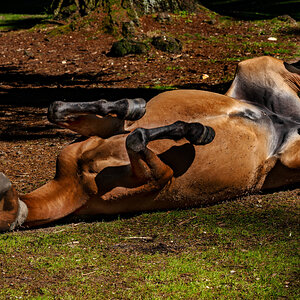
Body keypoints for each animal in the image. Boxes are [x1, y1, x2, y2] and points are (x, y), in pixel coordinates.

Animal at [0, 58, 300, 232]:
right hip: (290, 156)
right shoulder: (158, 173)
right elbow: (134, 137)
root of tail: (289, 122)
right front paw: (195, 130)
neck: (76, 181)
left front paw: (136, 106)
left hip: (258, 65)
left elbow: (127, 129)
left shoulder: (128, 148)